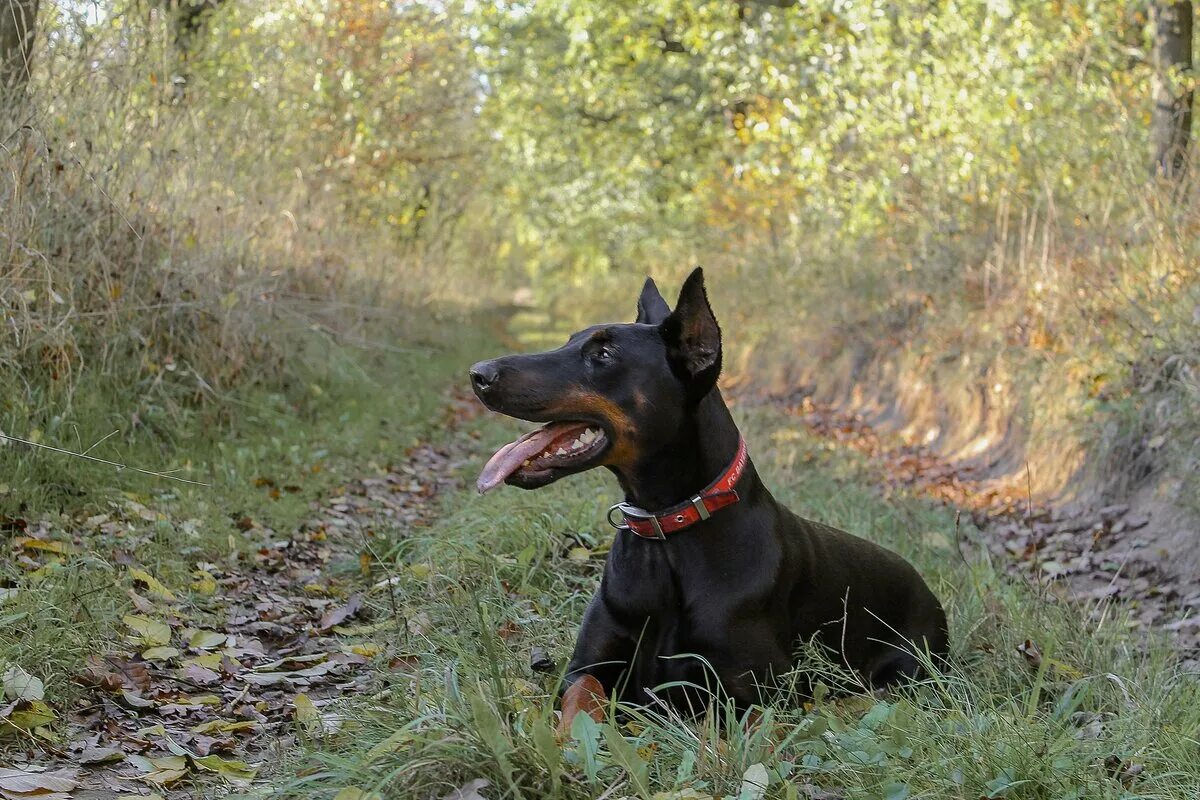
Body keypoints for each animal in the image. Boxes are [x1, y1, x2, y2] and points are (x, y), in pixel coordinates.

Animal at [468, 271, 945, 738]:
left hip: (908, 671)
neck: (667, 531)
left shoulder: (762, 693)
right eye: (570, 341)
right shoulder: (586, 667)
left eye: (602, 353)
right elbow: (583, 697)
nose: (478, 373)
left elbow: (744, 733)